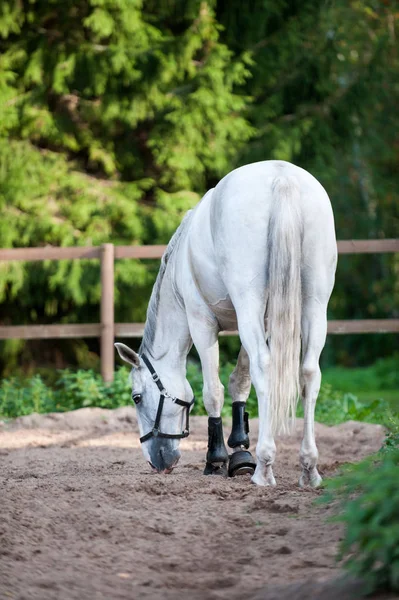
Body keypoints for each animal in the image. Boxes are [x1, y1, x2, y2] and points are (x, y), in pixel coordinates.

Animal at [116, 161, 338, 488]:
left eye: (137, 397)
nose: (158, 461)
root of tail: (282, 177)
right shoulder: (263, 320)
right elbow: (240, 383)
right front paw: (240, 452)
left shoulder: (202, 323)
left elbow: (214, 391)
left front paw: (217, 459)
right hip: (313, 304)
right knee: (309, 374)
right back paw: (308, 468)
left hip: (250, 303)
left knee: (265, 368)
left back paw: (264, 468)